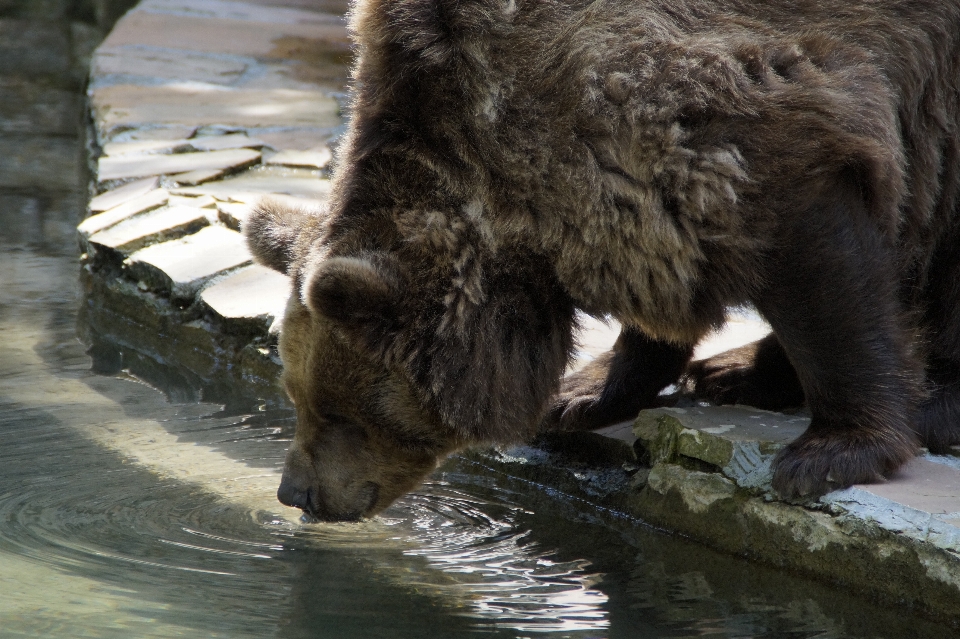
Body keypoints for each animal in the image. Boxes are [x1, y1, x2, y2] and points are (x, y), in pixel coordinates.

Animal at [244, 0, 960, 520]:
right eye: (294, 395)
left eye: (338, 411)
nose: (296, 493)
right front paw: (583, 394)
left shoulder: (758, 120)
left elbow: (825, 274)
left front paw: (833, 451)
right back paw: (729, 371)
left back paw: (930, 407)